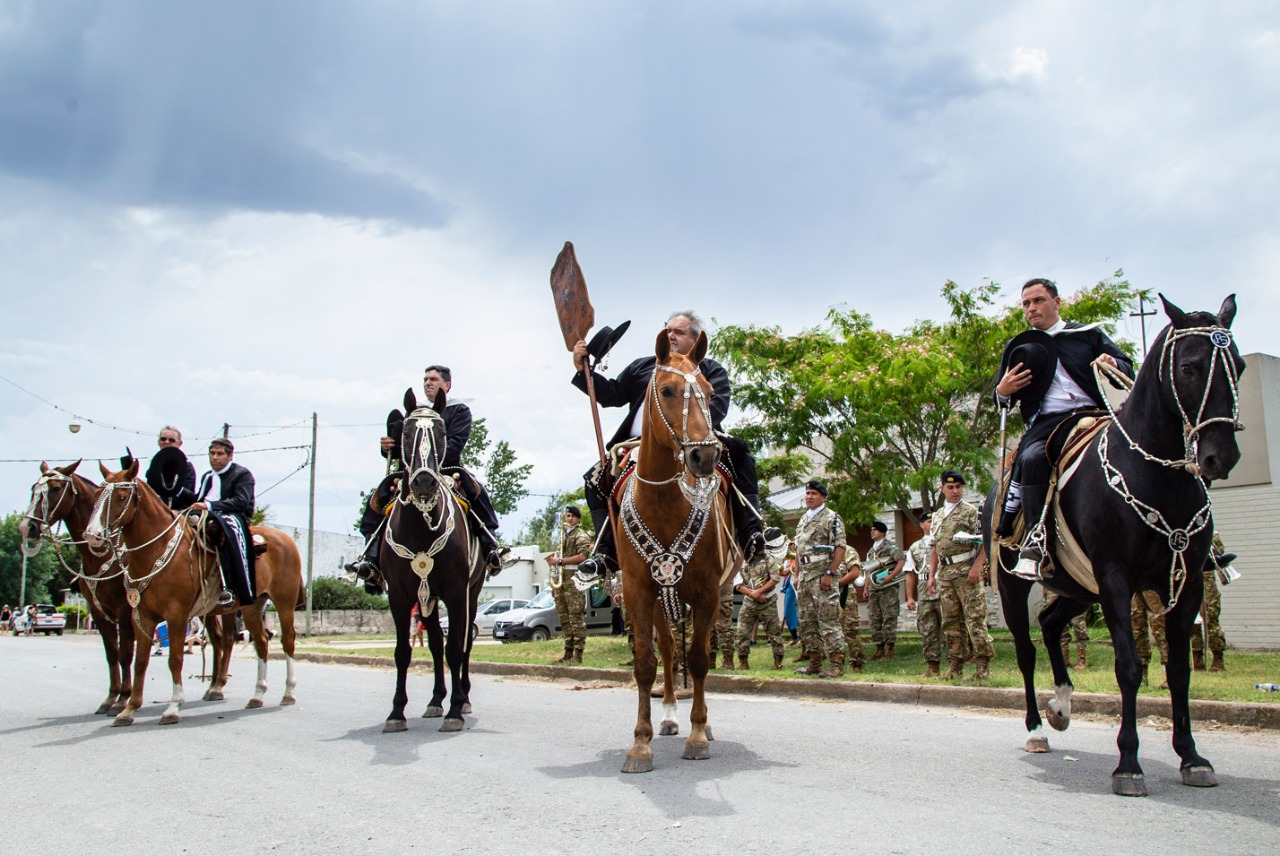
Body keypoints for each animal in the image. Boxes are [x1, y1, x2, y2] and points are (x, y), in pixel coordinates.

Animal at [19, 460, 136, 716]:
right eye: (33, 489)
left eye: (54, 488)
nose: (26, 527)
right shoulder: (97, 611)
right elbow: (112, 654)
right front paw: (111, 697)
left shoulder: (125, 609)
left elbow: (125, 654)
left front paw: (123, 698)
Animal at [85, 458, 304, 726]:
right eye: (97, 495)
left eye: (122, 496)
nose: (92, 535)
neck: (157, 549)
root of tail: (286, 539)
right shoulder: (141, 615)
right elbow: (141, 661)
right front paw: (129, 709)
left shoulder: (176, 614)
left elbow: (175, 659)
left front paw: (173, 707)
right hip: (252, 605)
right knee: (261, 642)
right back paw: (257, 695)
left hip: (284, 603)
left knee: (287, 641)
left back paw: (288, 692)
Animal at [378, 391, 483, 731]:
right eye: (405, 433)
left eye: (441, 433)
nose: (424, 484)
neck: (421, 526)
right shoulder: (399, 595)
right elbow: (403, 652)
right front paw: (396, 713)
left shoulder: (456, 592)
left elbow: (456, 649)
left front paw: (455, 711)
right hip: (427, 599)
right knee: (436, 643)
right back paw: (436, 700)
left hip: (471, 593)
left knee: (462, 645)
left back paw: (462, 698)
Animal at [616, 330, 737, 772]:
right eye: (667, 390)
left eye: (709, 391)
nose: (705, 454)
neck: (666, 502)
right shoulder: (637, 592)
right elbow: (646, 664)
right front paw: (640, 743)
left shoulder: (706, 593)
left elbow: (700, 660)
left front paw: (699, 734)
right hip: (657, 601)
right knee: (668, 650)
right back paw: (668, 715)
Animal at [983, 294, 1244, 793]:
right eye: (1188, 367)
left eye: (1238, 365)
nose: (1221, 457)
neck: (1155, 474)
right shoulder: (1117, 579)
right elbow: (1128, 666)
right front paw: (1128, 763)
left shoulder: (1184, 583)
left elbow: (1178, 669)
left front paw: (1192, 757)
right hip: (1016, 585)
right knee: (1027, 649)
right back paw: (1037, 729)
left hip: (1079, 586)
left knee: (1050, 623)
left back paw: (1062, 704)